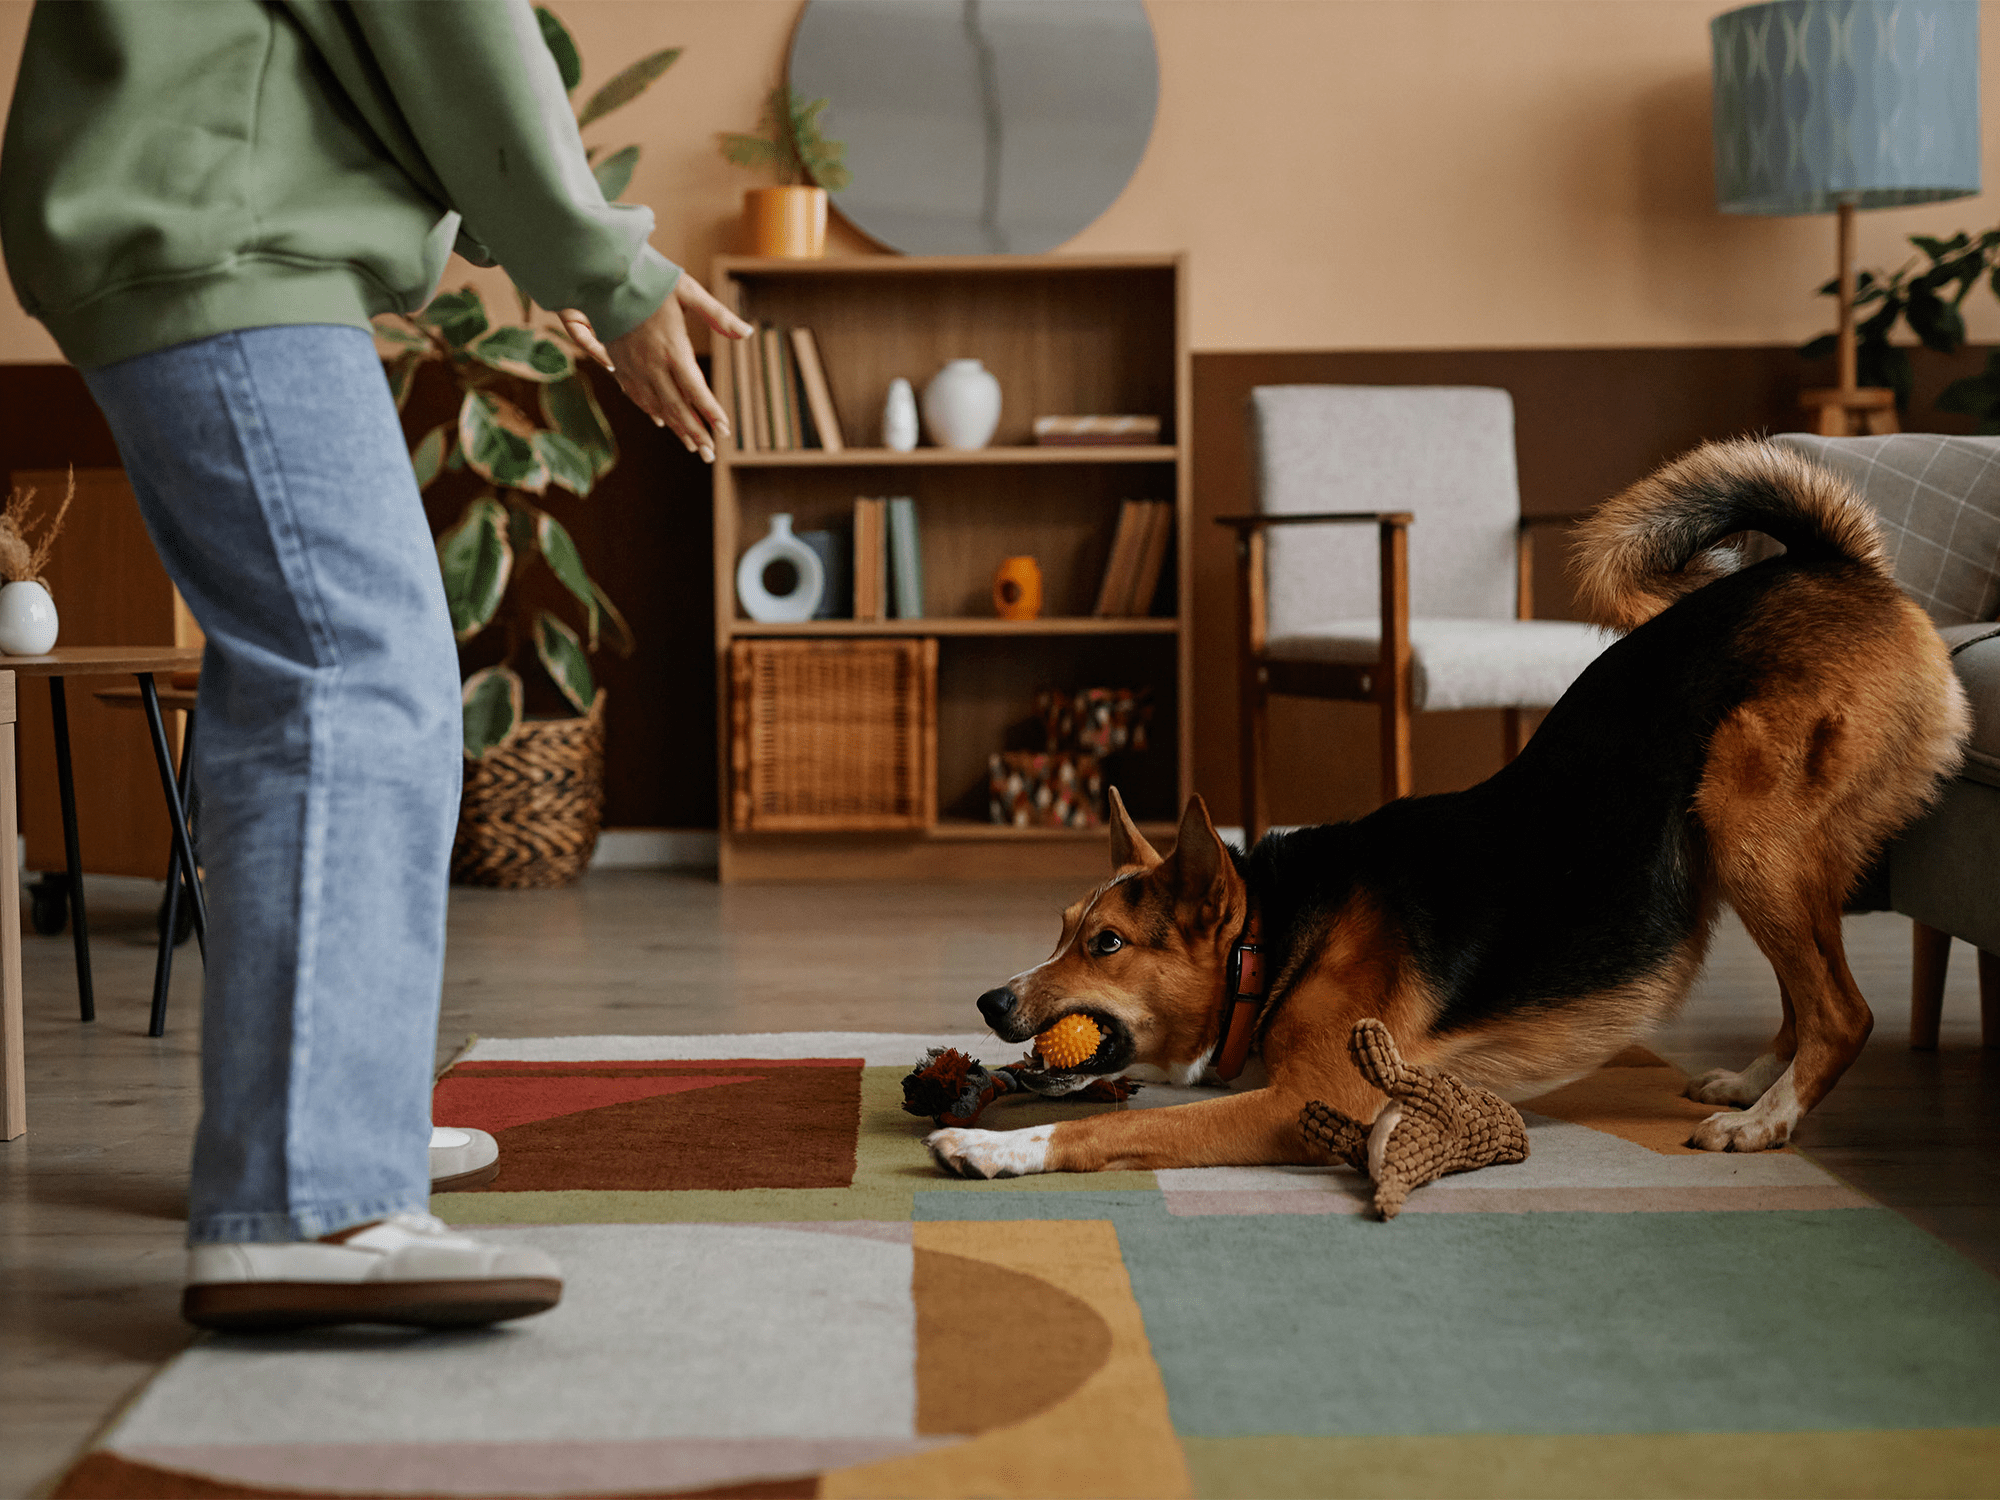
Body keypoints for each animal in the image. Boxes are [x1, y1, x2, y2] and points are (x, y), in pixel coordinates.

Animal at [928, 440, 1976, 1184]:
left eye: (1106, 944)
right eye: (1062, 928)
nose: (990, 1002)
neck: (1270, 942)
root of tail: (1833, 564)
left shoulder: (1310, 1101)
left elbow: (1117, 1131)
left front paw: (996, 1147)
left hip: (1744, 820)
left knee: (1842, 1010)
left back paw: (1763, 1122)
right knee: (1808, 998)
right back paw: (1754, 1081)